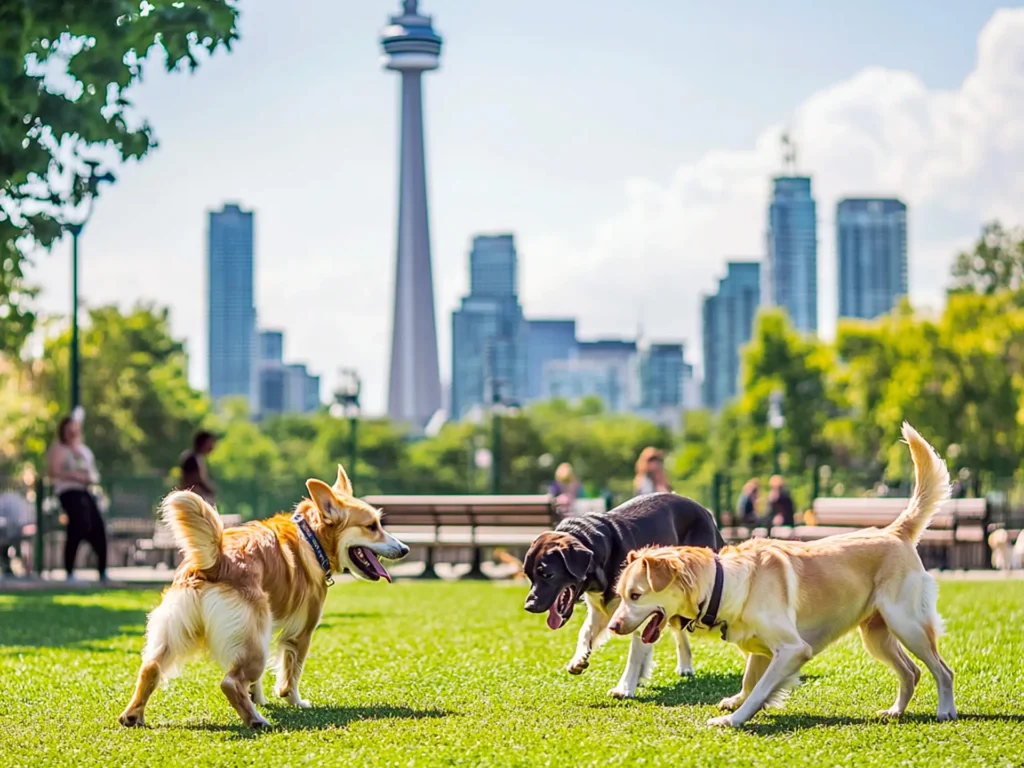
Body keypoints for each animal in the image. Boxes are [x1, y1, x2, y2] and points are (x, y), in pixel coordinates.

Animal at [117, 466, 405, 729]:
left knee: (150, 668)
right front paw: (294, 701)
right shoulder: (301, 633)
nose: (405, 549)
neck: (311, 539)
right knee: (230, 681)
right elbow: (291, 675)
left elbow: (260, 682)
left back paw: (133, 716)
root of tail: (216, 562)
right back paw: (256, 720)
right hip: (255, 643)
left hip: (184, 631)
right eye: (372, 527)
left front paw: (258, 697)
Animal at [524, 495, 724, 700]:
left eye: (548, 574)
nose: (529, 606)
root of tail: (706, 511)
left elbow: (634, 655)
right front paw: (578, 659)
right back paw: (682, 666)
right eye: (528, 575)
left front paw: (625, 688)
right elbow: (585, 632)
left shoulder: (638, 611)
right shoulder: (600, 611)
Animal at [606, 423, 950, 729]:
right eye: (620, 596)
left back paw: (946, 710)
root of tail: (895, 531)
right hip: (877, 635)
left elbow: (759, 689)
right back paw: (895, 711)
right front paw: (736, 702)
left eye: (635, 595)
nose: (612, 626)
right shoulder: (760, 651)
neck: (724, 584)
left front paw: (733, 719)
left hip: (907, 625)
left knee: (943, 671)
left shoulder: (793, 649)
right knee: (912, 672)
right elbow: (749, 682)